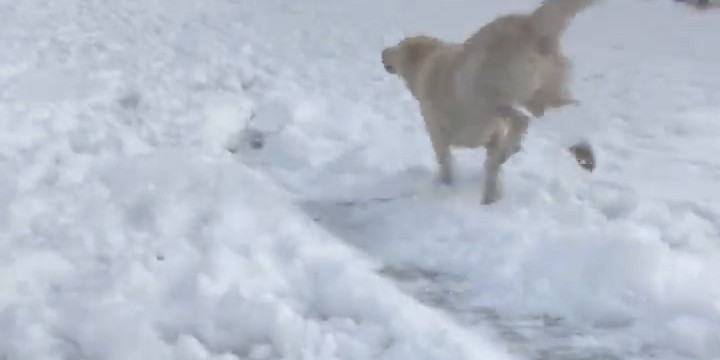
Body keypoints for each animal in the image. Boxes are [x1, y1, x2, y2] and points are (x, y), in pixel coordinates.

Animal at [386, 0, 600, 202]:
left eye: (398, 45)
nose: (383, 51)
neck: (427, 63)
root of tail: (530, 22)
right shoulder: (492, 137)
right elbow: (491, 171)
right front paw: (491, 195)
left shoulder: (440, 137)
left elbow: (449, 166)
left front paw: (450, 188)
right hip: (541, 97)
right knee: (570, 109)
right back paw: (582, 151)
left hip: (486, 94)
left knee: (521, 120)